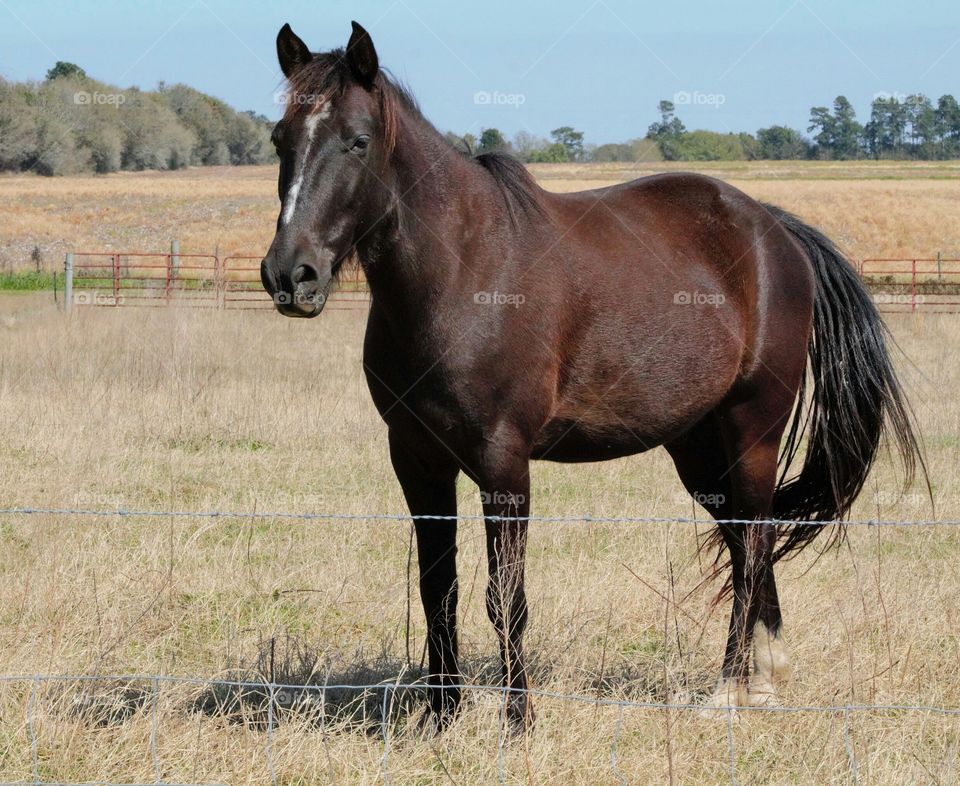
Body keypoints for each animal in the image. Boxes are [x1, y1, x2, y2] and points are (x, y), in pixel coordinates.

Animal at [259, 21, 924, 730]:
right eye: (280, 139)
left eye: (357, 141)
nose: (290, 274)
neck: (462, 272)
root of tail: (777, 232)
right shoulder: (417, 460)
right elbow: (439, 589)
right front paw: (442, 716)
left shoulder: (502, 461)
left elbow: (506, 596)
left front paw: (517, 721)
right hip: (698, 446)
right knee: (750, 537)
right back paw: (763, 682)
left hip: (753, 432)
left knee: (752, 542)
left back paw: (727, 691)